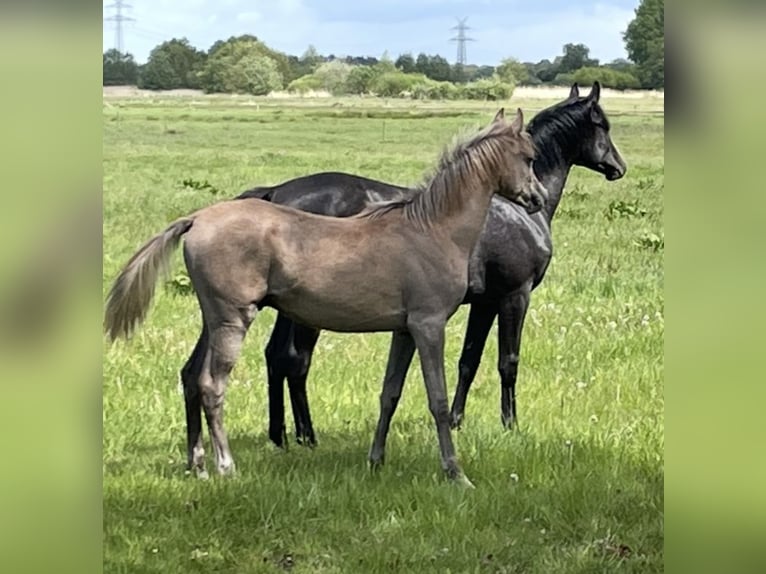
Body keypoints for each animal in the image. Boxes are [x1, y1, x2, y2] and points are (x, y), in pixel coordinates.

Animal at [104, 108, 547, 487]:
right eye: (528, 157)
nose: (538, 199)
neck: (431, 230)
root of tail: (197, 219)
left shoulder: (404, 331)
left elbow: (389, 394)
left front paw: (375, 461)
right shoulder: (429, 326)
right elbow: (436, 400)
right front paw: (455, 473)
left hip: (211, 320)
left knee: (191, 376)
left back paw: (197, 465)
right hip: (233, 320)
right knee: (212, 384)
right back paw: (226, 466)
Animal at [237, 81, 627, 447]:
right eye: (603, 125)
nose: (619, 168)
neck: (510, 208)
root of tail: (277, 193)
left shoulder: (485, 302)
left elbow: (469, 360)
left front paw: (456, 420)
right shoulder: (515, 295)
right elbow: (508, 361)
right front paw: (510, 424)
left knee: (277, 356)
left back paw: (282, 436)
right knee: (295, 359)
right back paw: (306, 436)